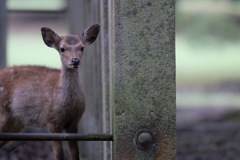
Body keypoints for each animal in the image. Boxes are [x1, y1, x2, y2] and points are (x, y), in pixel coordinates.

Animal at [0, 24, 100, 160]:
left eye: (82, 47)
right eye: (62, 48)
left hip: (15, 122)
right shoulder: (51, 120)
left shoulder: (74, 122)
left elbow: (75, 153)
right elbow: (59, 154)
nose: (75, 61)